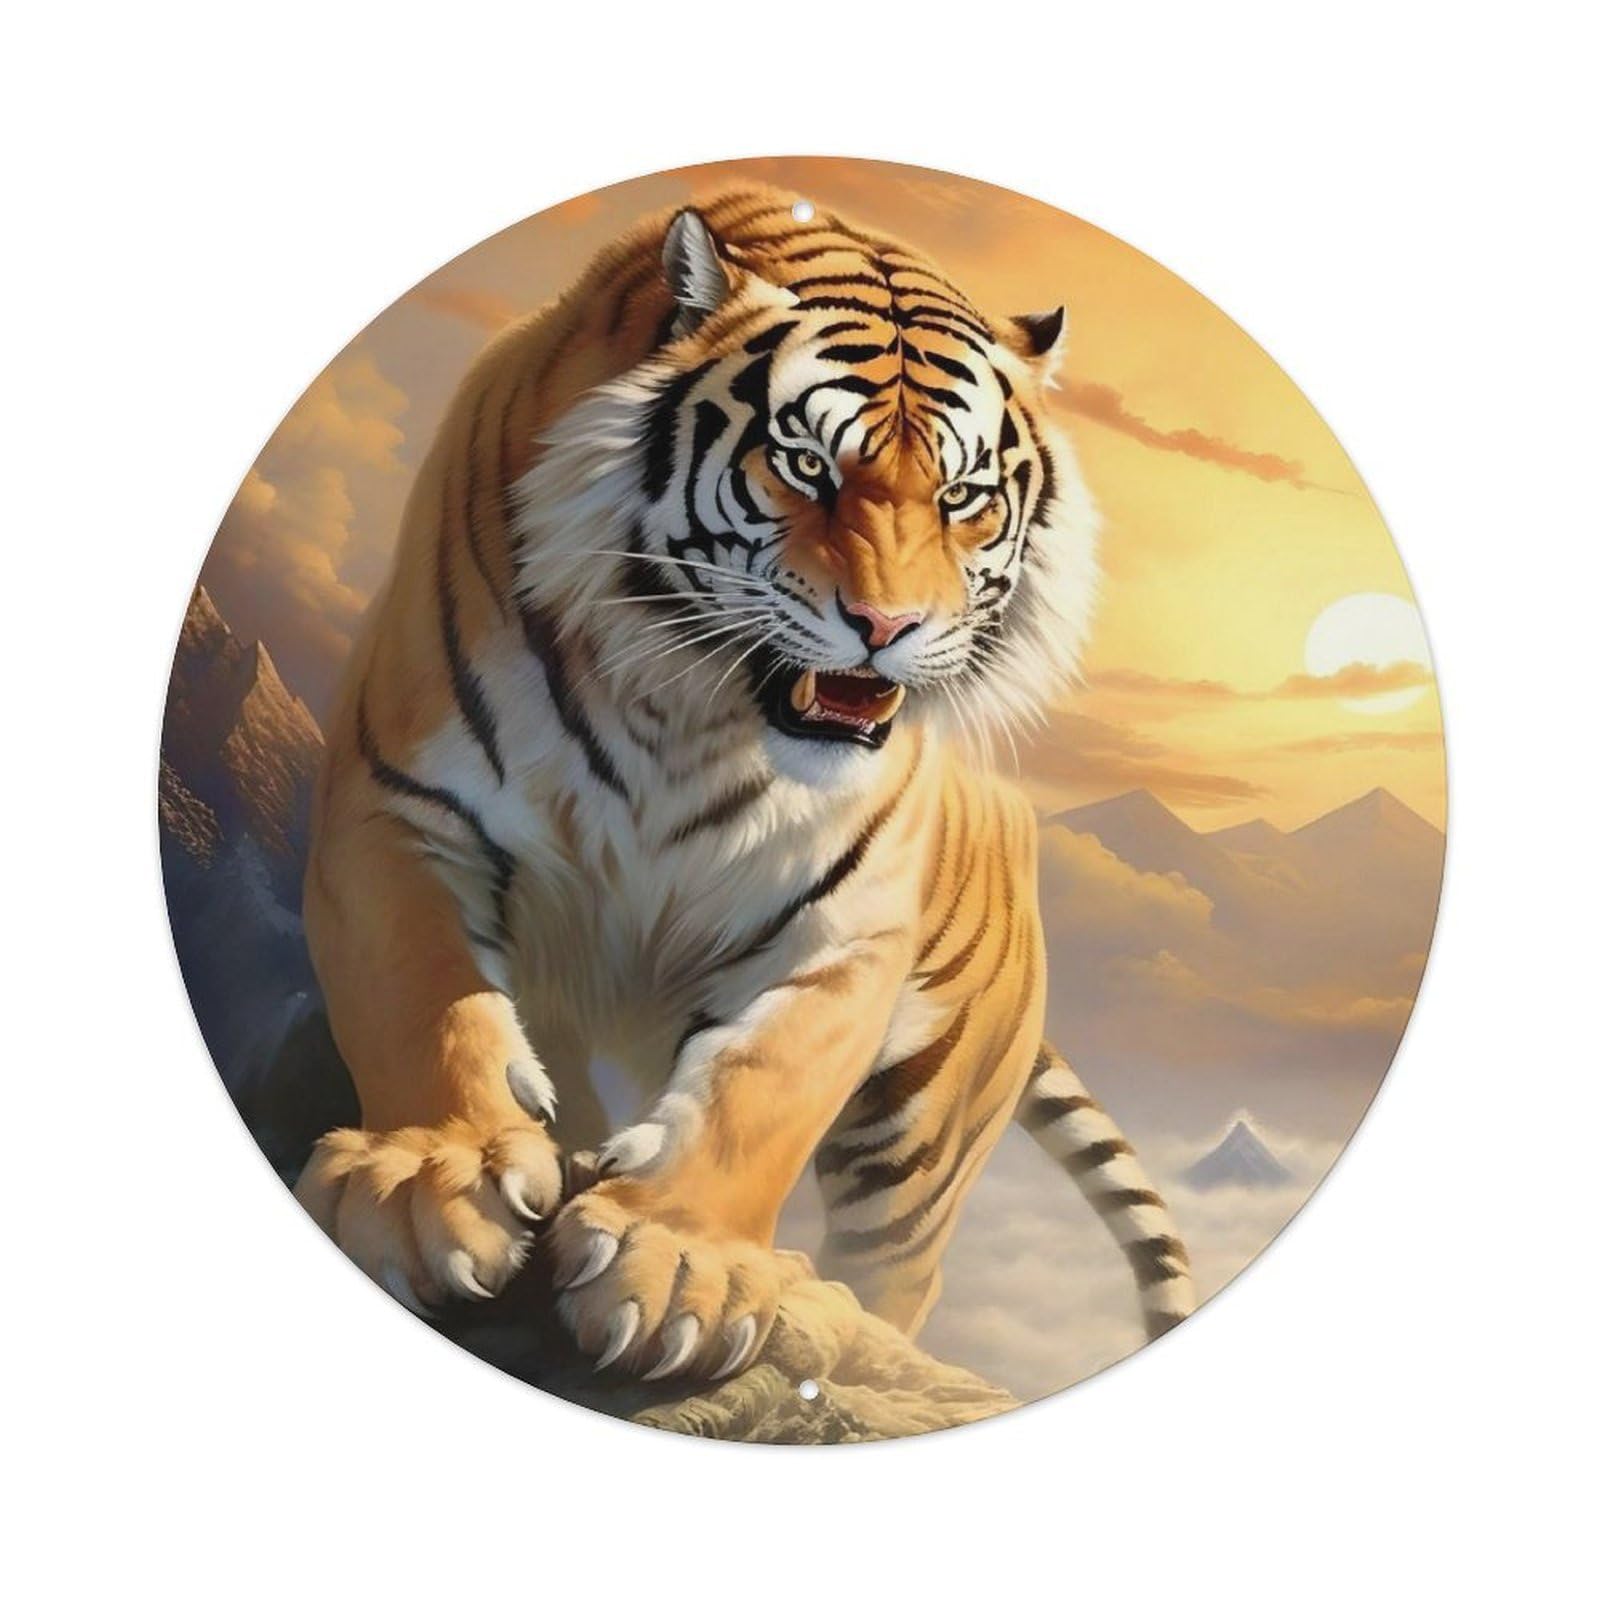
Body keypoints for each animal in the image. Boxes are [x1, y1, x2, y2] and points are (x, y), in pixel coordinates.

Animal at [295, 186, 1194, 1386]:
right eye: (808, 466)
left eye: (960, 495)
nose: (888, 626)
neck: (686, 704)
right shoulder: (399, 803)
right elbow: (421, 995)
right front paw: (426, 1177)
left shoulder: (845, 923)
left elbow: (762, 1086)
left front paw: (685, 1261)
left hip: (919, 1141)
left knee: (897, 1278)